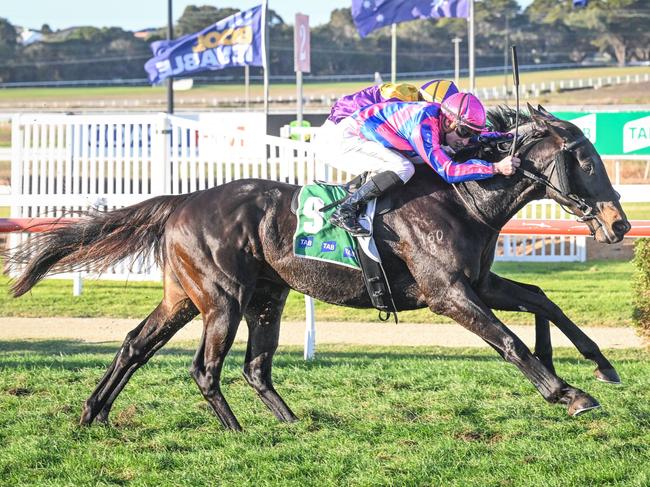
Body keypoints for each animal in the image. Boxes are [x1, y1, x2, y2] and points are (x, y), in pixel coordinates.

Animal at [6, 104, 628, 430]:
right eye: (585, 158)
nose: (619, 224)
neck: (463, 197)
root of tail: (181, 200)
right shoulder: (447, 292)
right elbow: (509, 342)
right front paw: (566, 391)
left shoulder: (479, 282)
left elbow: (540, 297)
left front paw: (599, 367)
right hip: (222, 299)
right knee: (206, 369)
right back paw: (235, 430)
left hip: (221, 297)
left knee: (166, 348)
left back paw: (97, 413)